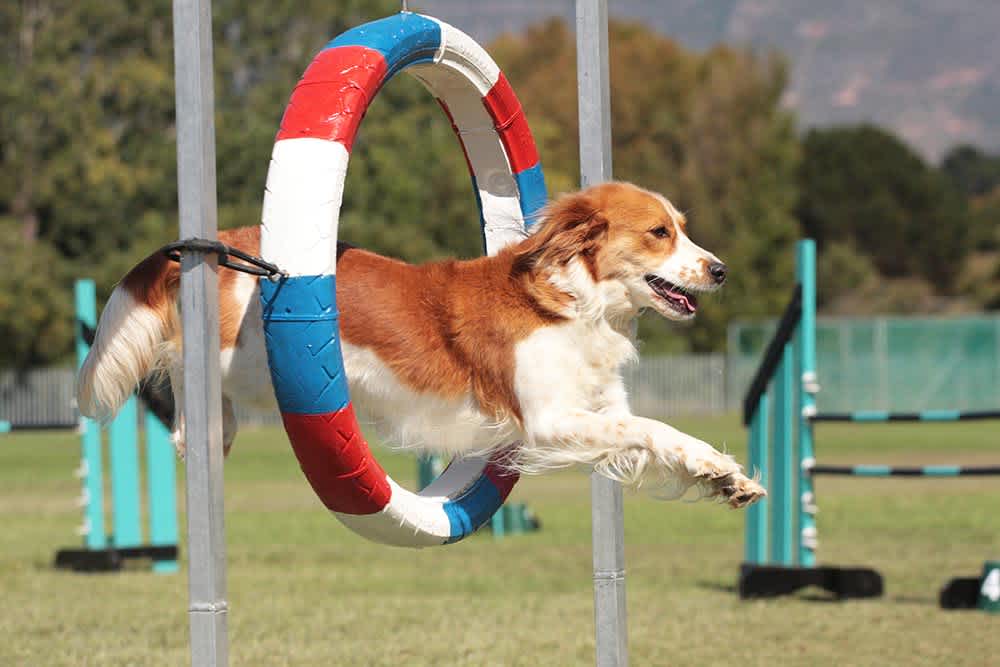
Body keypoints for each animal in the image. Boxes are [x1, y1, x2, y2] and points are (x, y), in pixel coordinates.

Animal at [78, 181, 764, 506]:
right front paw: (717, 468)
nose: (722, 270)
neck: (574, 301)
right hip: (238, 361)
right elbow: (648, 428)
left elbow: (659, 435)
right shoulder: (548, 422)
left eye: (683, 228)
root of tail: (222, 242)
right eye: (659, 233)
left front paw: (724, 475)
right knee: (184, 388)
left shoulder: (599, 409)